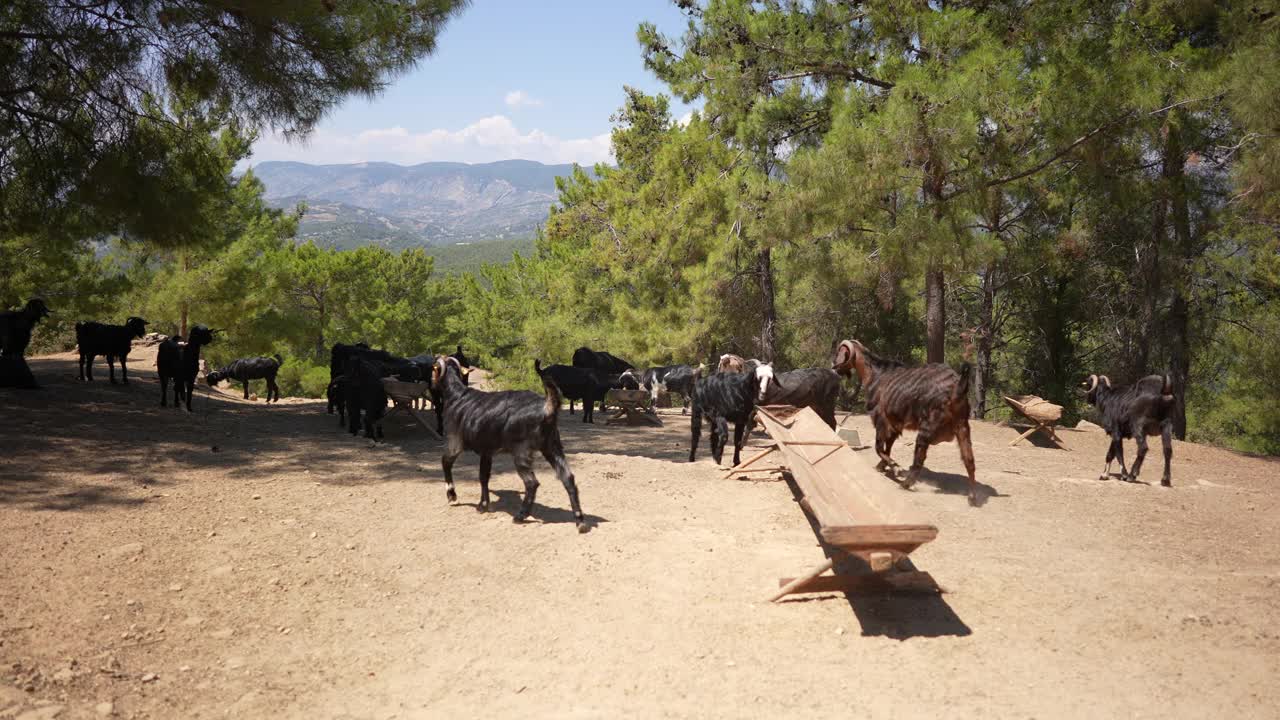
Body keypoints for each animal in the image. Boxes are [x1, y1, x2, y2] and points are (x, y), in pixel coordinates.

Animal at [432, 356, 586, 530]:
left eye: (433, 369)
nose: (432, 384)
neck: (457, 396)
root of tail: (546, 408)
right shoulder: (487, 451)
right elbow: (483, 476)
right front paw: (483, 505)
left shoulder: (455, 441)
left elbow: (445, 462)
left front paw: (452, 496)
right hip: (552, 447)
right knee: (568, 478)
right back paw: (580, 521)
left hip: (522, 452)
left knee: (532, 483)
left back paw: (520, 516)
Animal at [829, 338, 977, 502]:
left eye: (839, 352)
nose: (833, 367)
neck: (875, 373)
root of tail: (957, 388)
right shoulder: (894, 425)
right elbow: (887, 446)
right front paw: (882, 466)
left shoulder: (881, 420)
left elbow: (878, 447)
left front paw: (894, 466)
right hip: (962, 427)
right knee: (969, 460)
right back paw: (972, 496)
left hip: (926, 429)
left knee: (919, 460)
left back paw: (905, 483)